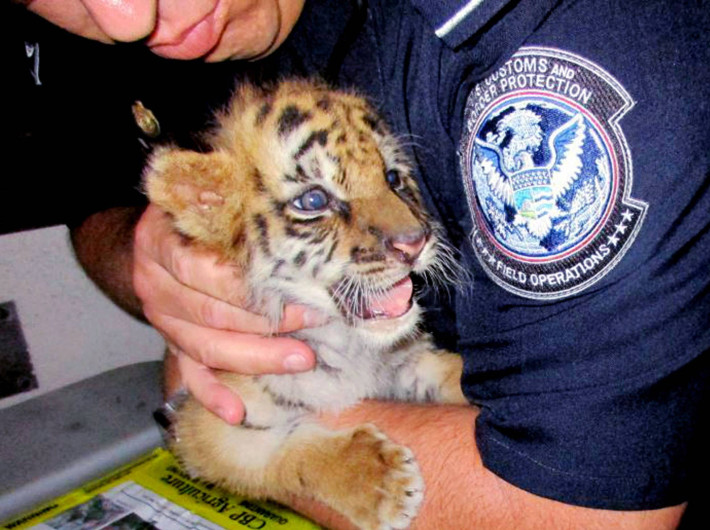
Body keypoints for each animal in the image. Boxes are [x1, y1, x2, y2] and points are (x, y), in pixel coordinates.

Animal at [144, 79, 468, 530]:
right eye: (314, 201)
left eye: (392, 178)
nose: (415, 241)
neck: (346, 344)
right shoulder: (212, 425)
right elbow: (286, 454)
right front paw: (381, 482)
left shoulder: (405, 362)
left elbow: (450, 372)